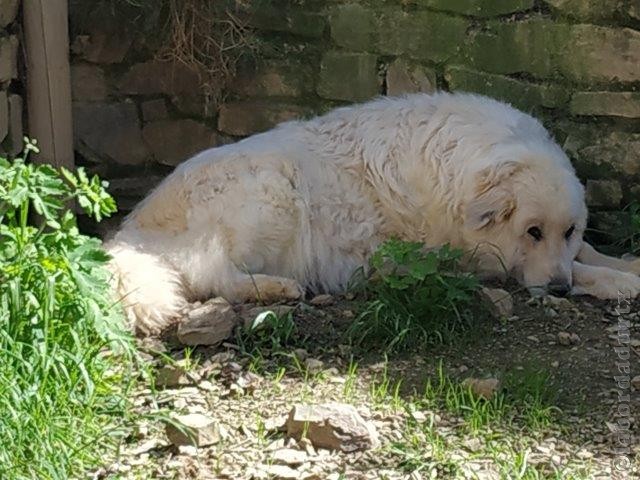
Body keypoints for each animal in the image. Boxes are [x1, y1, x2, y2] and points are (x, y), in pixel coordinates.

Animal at [109, 92, 640, 336]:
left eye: (567, 229)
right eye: (531, 232)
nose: (558, 290)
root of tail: (133, 231)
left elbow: (589, 255)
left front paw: (623, 264)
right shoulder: (477, 260)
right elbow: (584, 271)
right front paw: (620, 282)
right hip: (274, 192)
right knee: (214, 273)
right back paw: (278, 288)